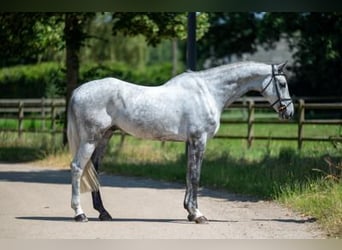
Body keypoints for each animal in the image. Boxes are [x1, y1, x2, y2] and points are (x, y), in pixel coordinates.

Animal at [67, 60, 294, 223]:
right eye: (282, 84)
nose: (289, 112)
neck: (208, 92)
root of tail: (77, 92)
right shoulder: (199, 140)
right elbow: (195, 177)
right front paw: (198, 214)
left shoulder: (191, 142)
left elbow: (188, 175)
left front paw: (190, 212)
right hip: (90, 139)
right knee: (77, 167)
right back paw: (80, 214)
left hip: (104, 137)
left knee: (93, 170)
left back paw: (103, 213)